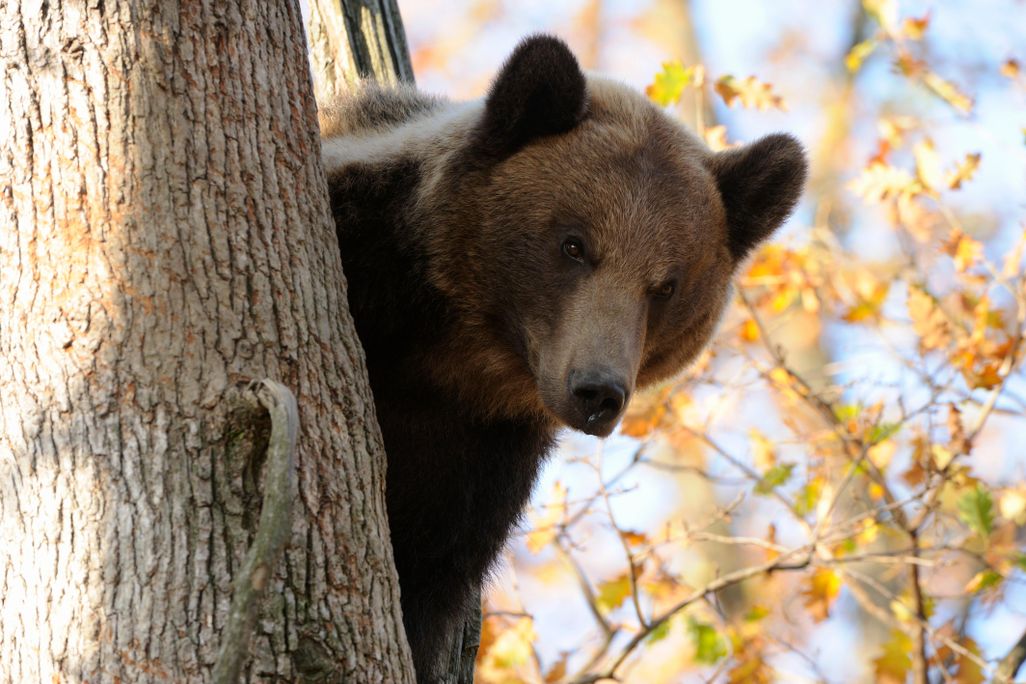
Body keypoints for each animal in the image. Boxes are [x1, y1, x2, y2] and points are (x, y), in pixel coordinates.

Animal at [320, 35, 807, 682]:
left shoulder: (476, 461)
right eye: (574, 244)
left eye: (666, 285)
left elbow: (424, 578)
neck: (451, 357)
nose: (597, 391)